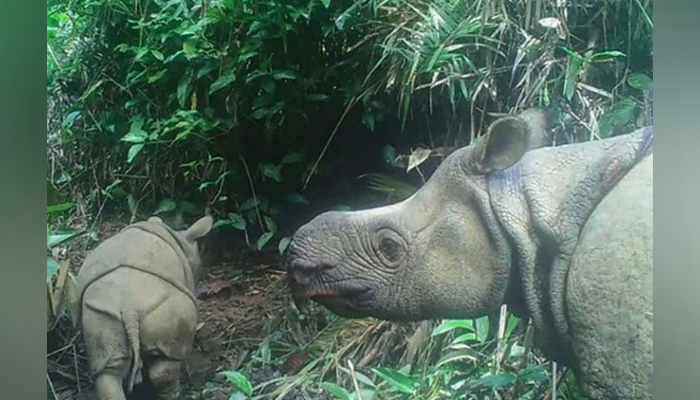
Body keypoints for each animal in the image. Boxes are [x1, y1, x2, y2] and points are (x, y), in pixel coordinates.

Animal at [77, 217, 213, 398]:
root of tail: (129, 309)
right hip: (165, 309)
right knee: (166, 362)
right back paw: (175, 393)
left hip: (100, 314)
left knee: (109, 371)